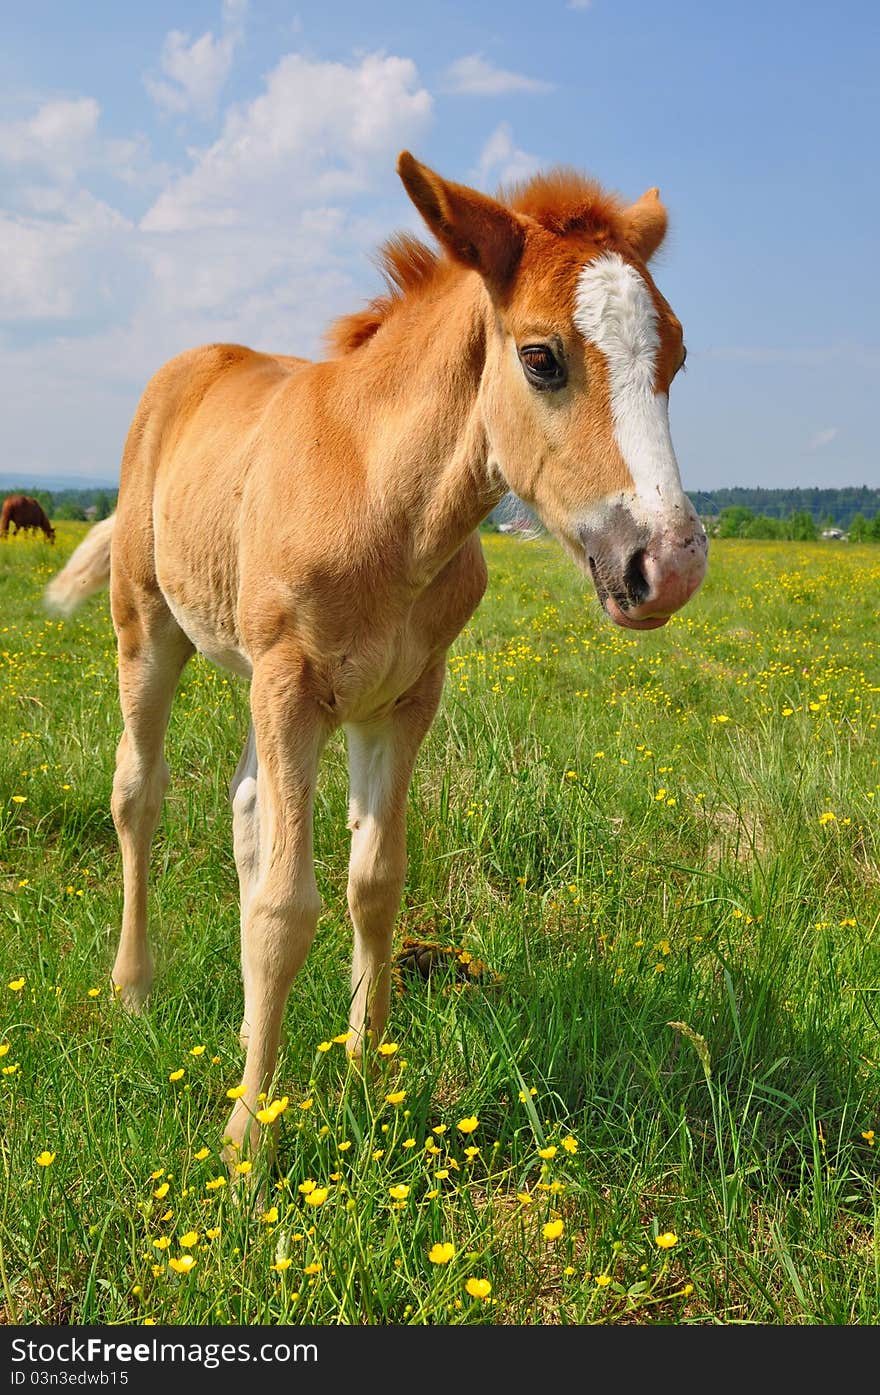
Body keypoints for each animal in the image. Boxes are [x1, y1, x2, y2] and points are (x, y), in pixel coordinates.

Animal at [46, 152, 708, 1160]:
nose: (666, 566)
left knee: (246, 807)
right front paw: (246, 1142)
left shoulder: (399, 701)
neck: (382, 497)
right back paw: (133, 988)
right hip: (150, 626)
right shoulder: (294, 686)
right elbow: (287, 906)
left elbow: (374, 883)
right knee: (138, 792)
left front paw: (364, 1079)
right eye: (542, 357)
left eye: (674, 355)